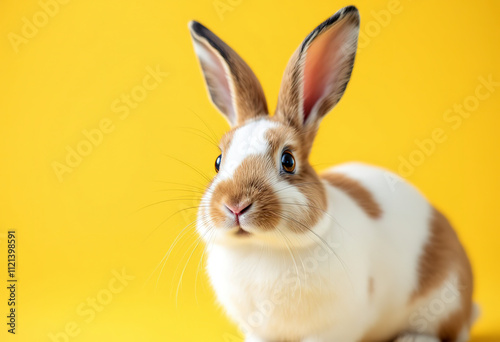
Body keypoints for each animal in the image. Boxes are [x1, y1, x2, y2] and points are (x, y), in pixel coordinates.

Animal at [187, 5, 476, 342]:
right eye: (219, 161)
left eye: (288, 161)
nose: (235, 205)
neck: (263, 246)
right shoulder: (260, 330)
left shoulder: (330, 329)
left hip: (445, 301)